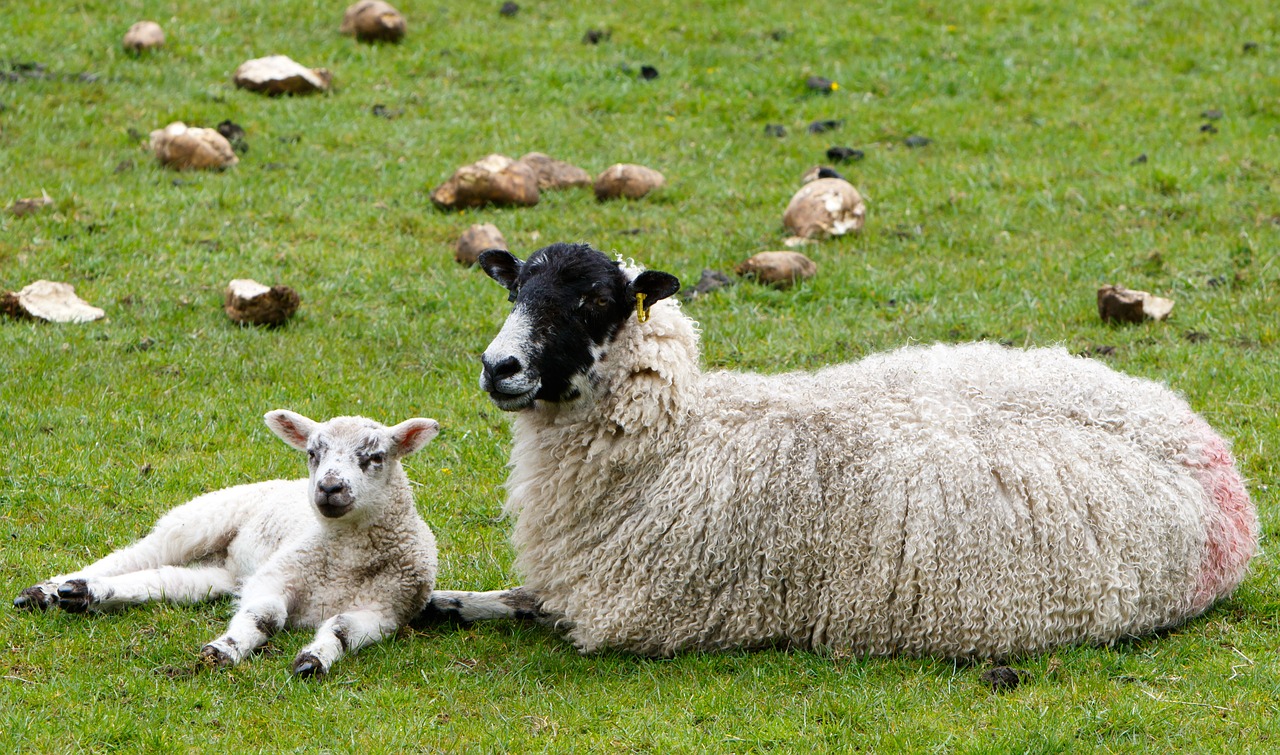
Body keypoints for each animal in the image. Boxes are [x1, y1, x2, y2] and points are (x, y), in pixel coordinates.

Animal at [11, 414, 445, 680]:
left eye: (375, 457)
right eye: (312, 453)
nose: (329, 487)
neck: (344, 560)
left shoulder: (385, 611)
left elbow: (341, 631)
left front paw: (313, 661)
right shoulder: (275, 577)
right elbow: (265, 618)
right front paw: (224, 650)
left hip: (221, 574)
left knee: (161, 580)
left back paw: (82, 593)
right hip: (196, 522)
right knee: (132, 556)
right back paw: (48, 590)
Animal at [422, 244, 1259, 665]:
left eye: (595, 300)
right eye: (515, 291)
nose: (499, 367)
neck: (679, 439)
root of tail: (1219, 464)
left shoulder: (633, 612)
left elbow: (530, 608)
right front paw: (441, 602)